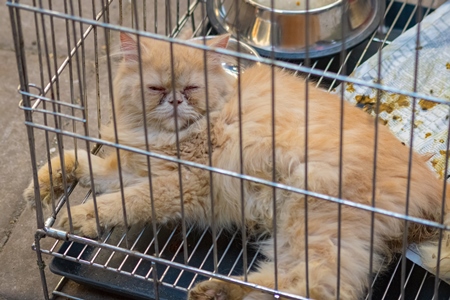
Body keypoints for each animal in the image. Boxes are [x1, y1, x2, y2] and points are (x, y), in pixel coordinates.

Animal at [25, 33, 450, 300]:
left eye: (191, 88)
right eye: (156, 89)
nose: (175, 101)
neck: (161, 137)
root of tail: (431, 187)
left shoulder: (180, 185)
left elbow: (121, 202)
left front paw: (78, 218)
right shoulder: (131, 169)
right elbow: (78, 163)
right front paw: (43, 188)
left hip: (313, 218)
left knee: (317, 287)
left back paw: (216, 291)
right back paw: (216, 290)